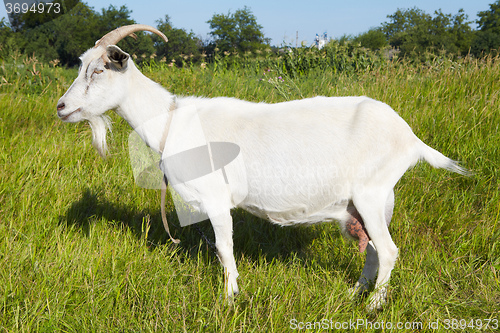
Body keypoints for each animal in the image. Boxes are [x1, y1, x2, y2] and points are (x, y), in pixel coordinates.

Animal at [56, 24, 466, 310]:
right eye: (81, 67)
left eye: (98, 70)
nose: (61, 107)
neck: (172, 120)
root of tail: (410, 137)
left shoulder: (216, 198)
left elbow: (224, 248)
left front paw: (230, 299)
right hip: (371, 202)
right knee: (373, 250)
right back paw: (354, 293)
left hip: (372, 191)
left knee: (389, 250)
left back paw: (374, 306)